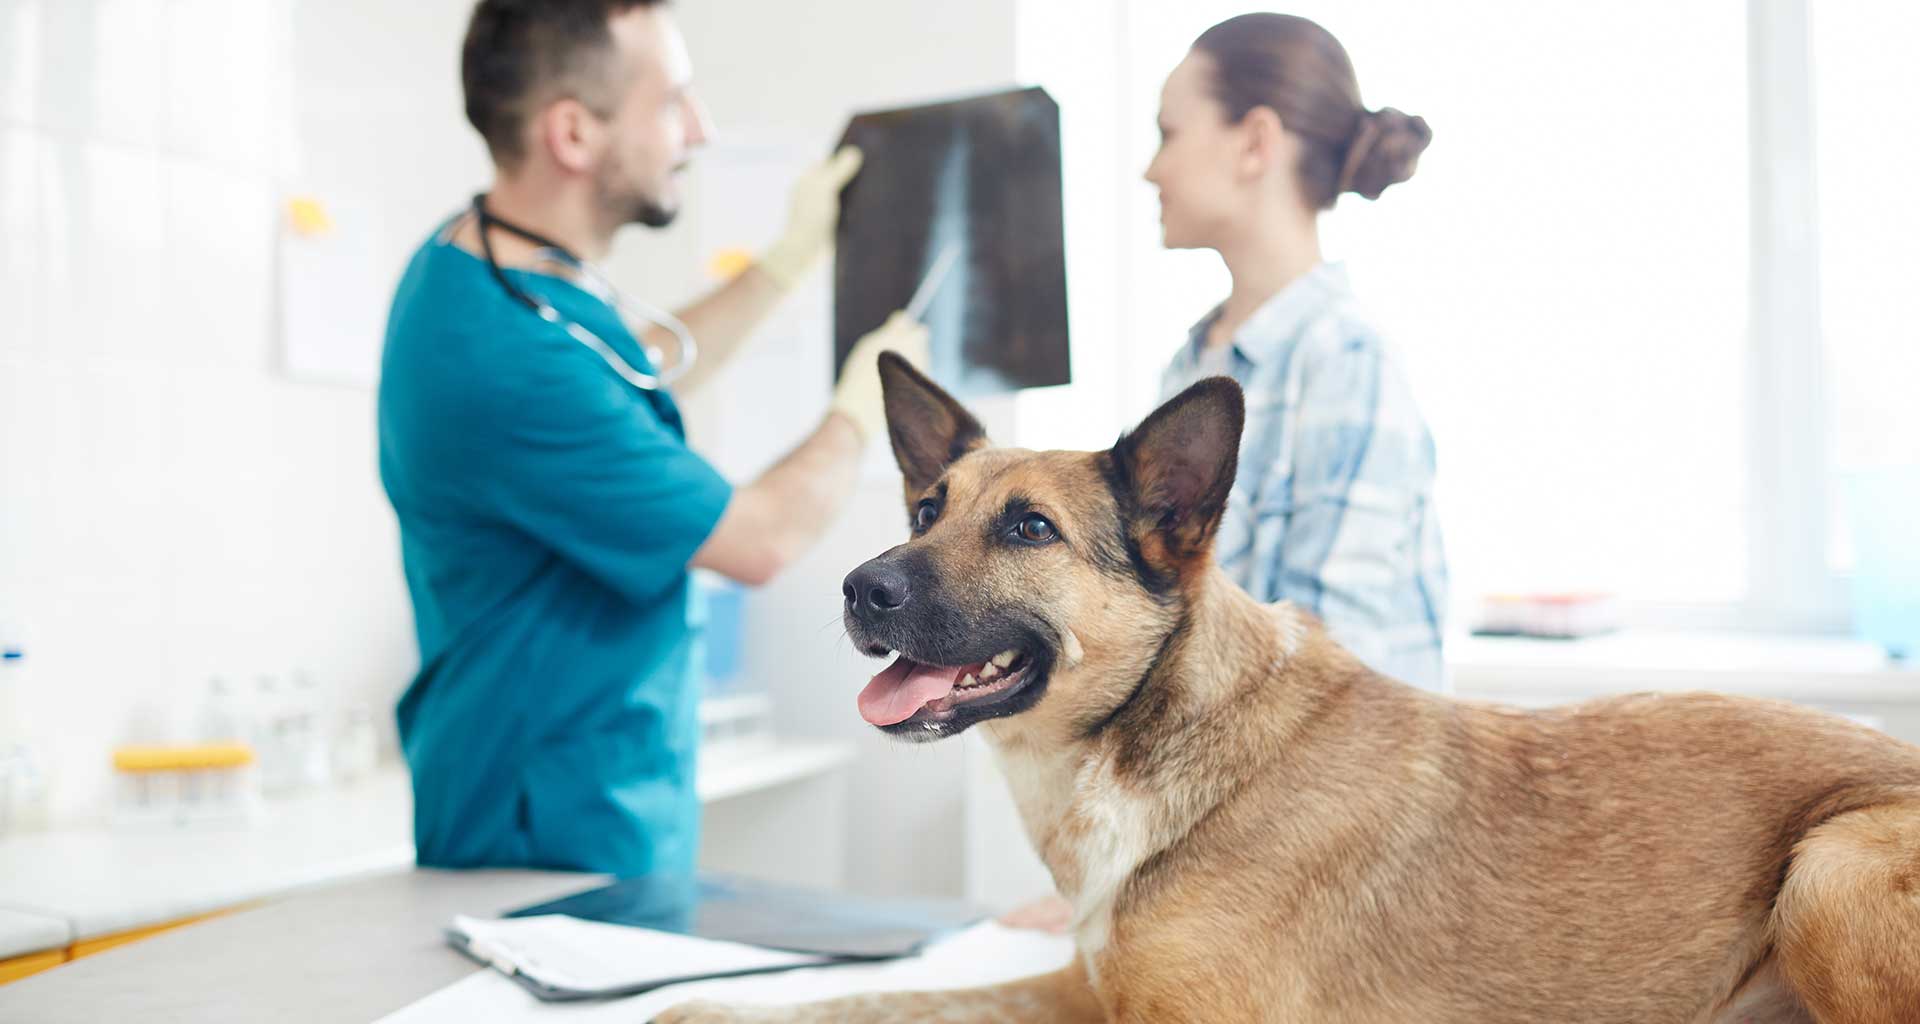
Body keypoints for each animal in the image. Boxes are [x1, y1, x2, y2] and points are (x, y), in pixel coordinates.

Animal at [659, 355, 1920, 1023]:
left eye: (1026, 529)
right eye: (927, 508)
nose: (858, 587)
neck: (1153, 737)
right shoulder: (1084, 990)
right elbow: (871, 1002)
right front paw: (712, 1005)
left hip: (1828, 866)